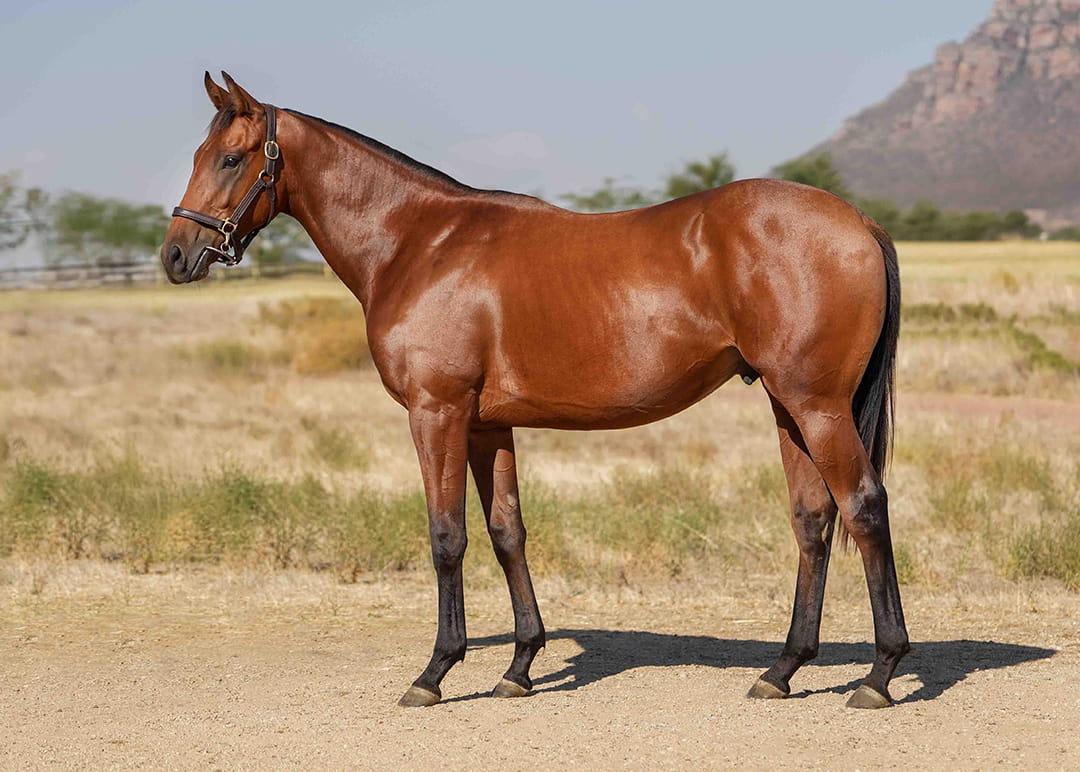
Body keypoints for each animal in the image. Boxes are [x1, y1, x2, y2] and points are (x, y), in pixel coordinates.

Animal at [161, 72, 909, 710]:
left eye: (231, 158)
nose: (175, 256)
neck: (419, 243)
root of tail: (860, 223)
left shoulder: (437, 414)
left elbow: (446, 535)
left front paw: (435, 672)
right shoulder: (487, 425)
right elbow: (506, 532)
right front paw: (519, 666)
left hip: (817, 407)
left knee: (865, 507)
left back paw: (878, 675)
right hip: (789, 407)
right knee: (813, 519)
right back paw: (782, 671)